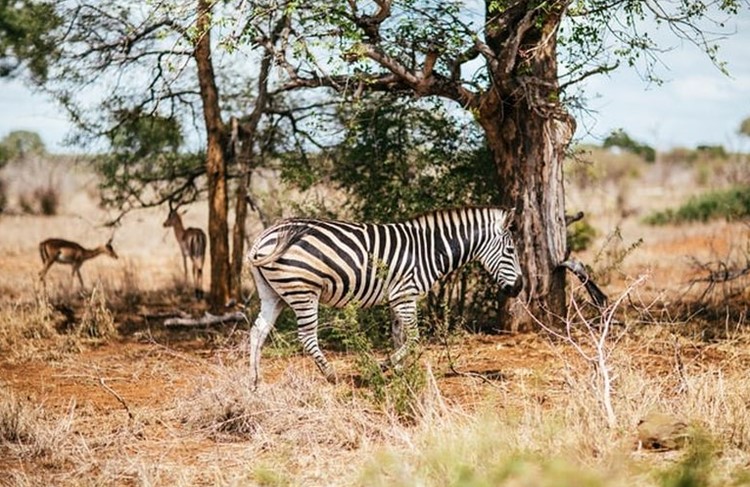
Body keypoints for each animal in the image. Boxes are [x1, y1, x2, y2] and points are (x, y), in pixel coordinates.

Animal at [247, 206, 524, 388]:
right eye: (511, 251)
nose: (519, 288)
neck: (430, 250)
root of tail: (265, 235)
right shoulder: (406, 295)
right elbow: (413, 338)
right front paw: (383, 366)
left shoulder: (397, 299)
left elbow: (398, 337)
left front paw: (400, 373)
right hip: (303, 290)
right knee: (306, 337)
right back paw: (331, 375)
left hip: (274, 294)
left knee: (258, 331)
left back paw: (254, 381)